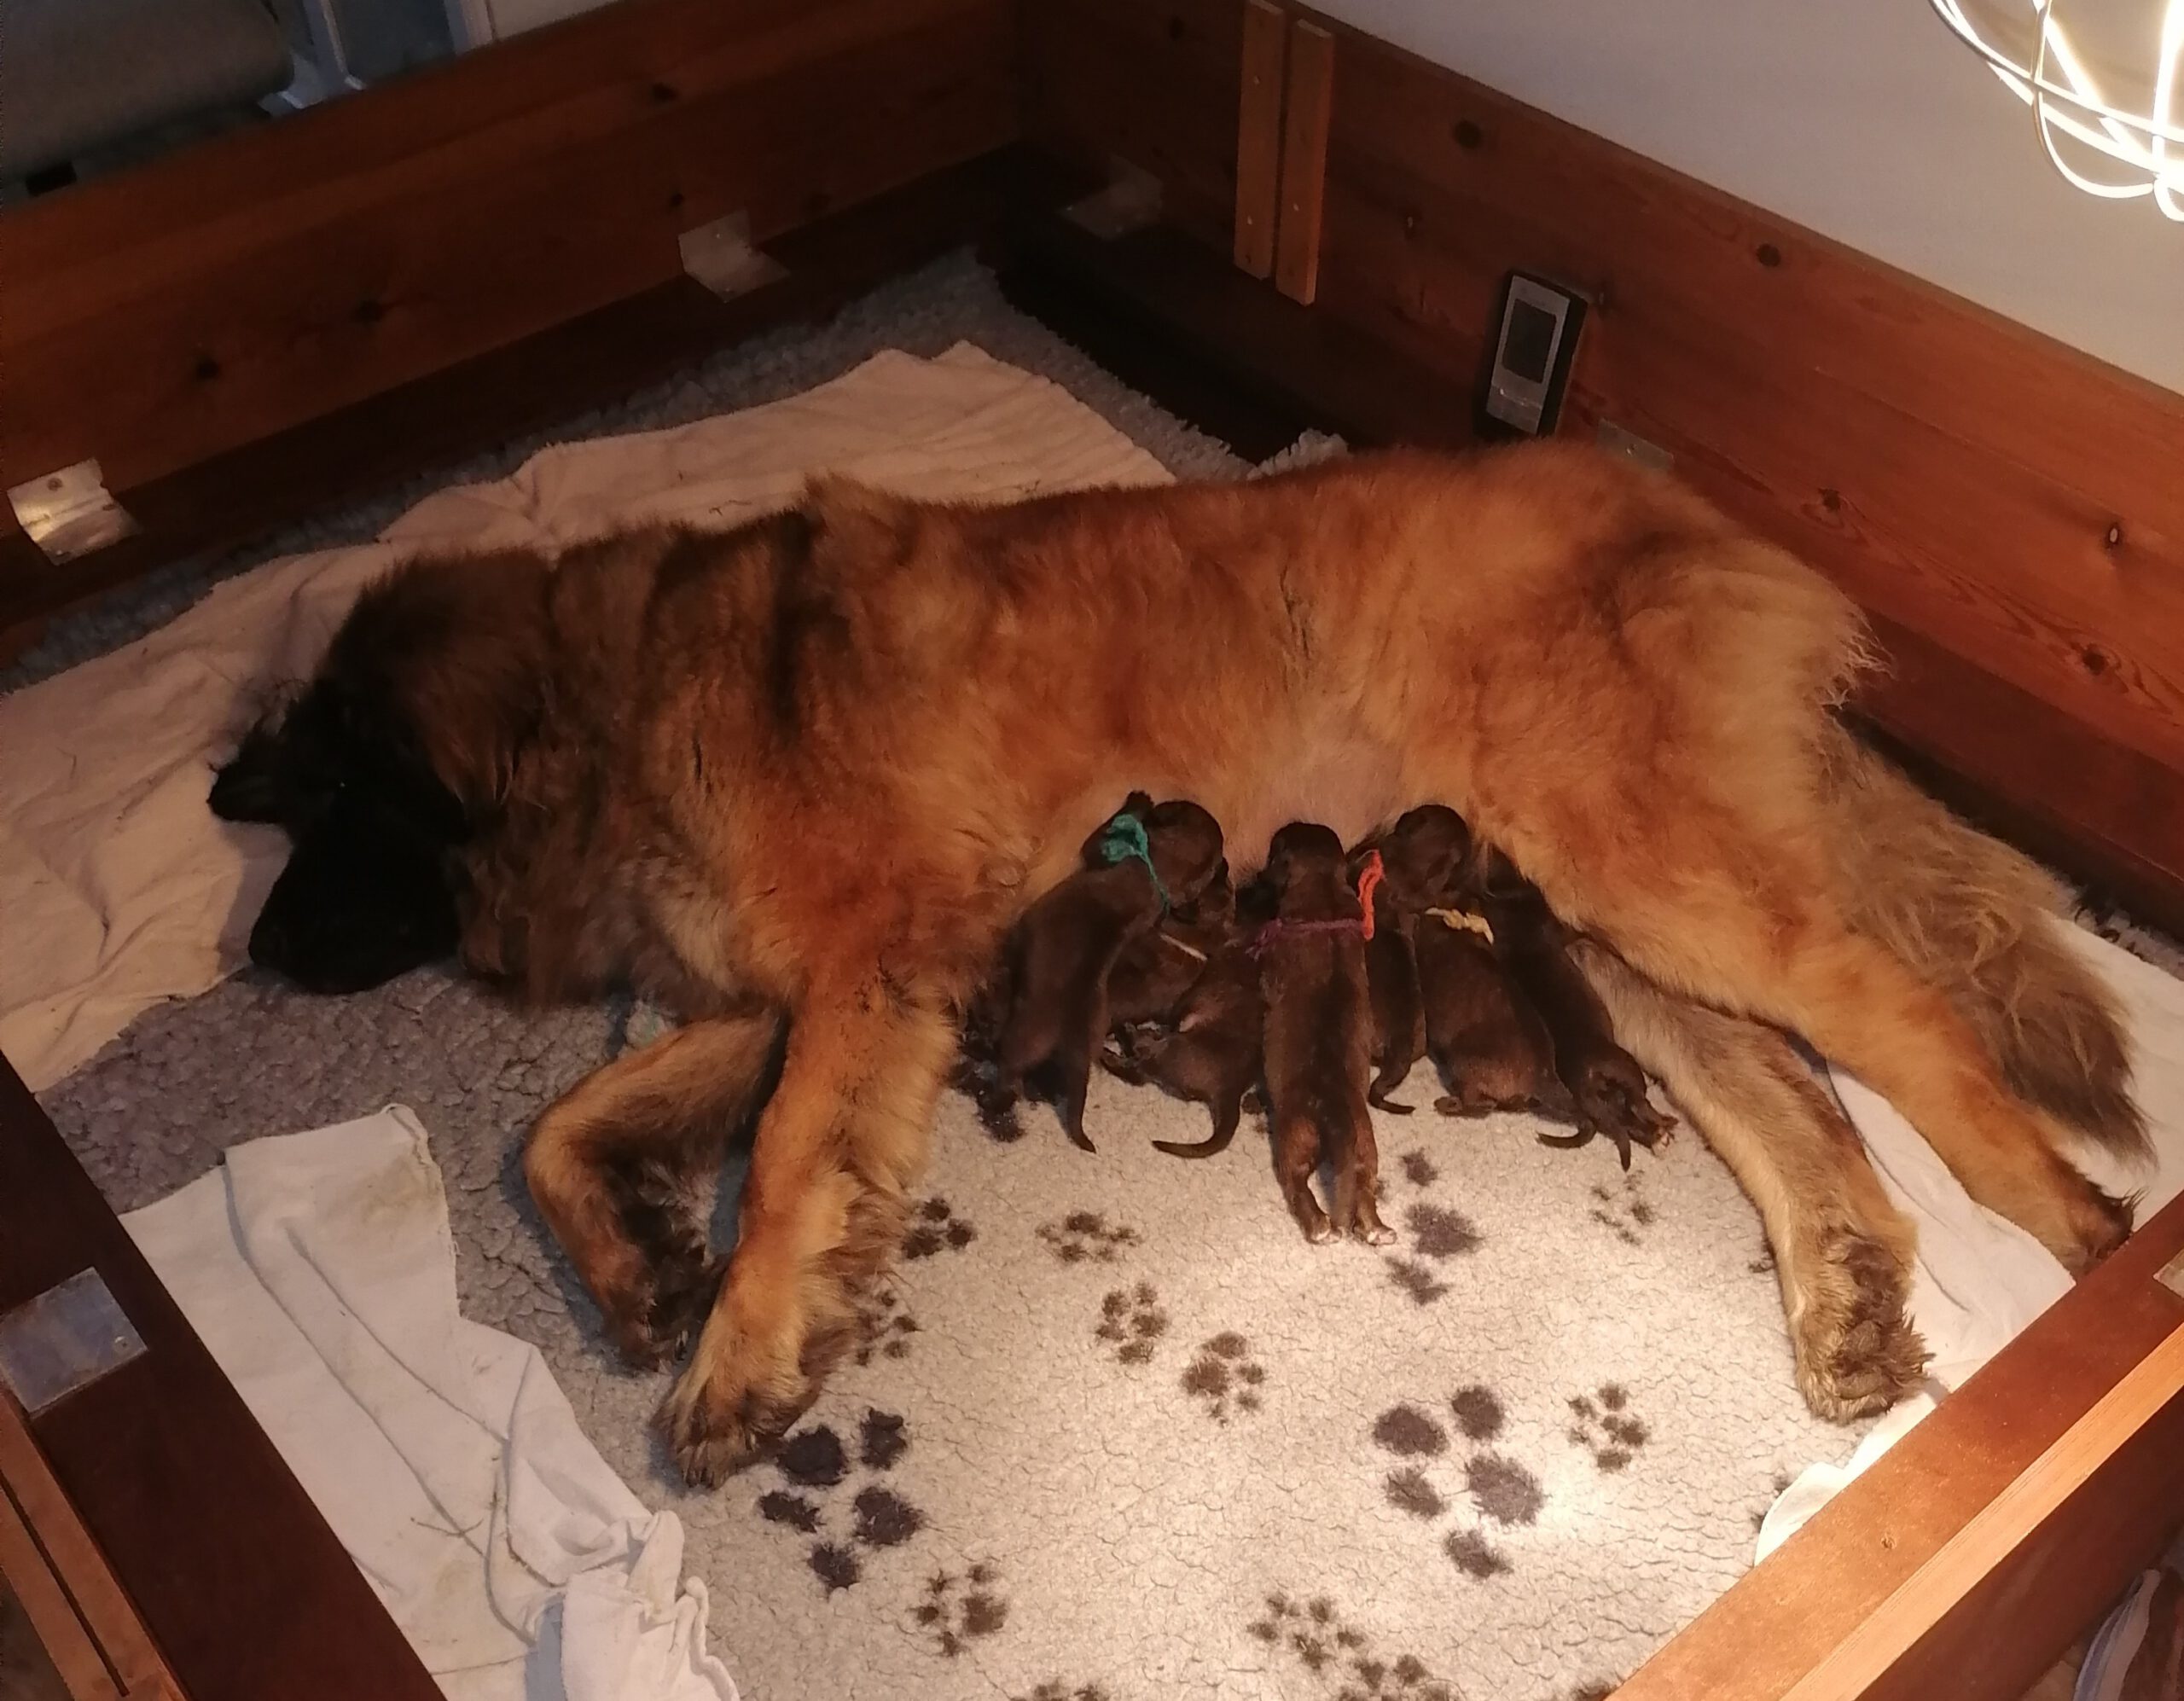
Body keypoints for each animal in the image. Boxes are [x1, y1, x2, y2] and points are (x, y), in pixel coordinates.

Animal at [1251, 823, 1392, 1245]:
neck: (1323, 885)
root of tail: (1335, 1112)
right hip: (1366, 1148)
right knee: (1364, 1190)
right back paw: (1378, 1230)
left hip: (1294, 1139)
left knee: (1297, 1185)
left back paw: (1319, 1227)